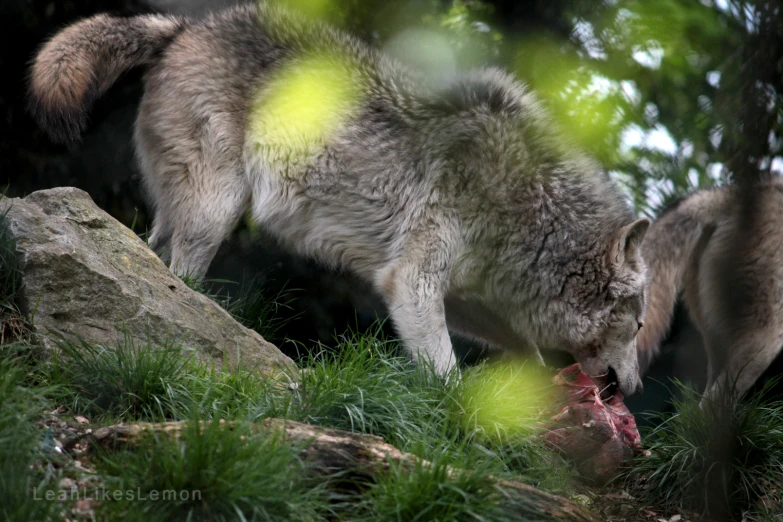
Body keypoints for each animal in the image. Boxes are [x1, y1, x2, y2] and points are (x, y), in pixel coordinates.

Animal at [26, 2, 648, 392]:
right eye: (640, 327)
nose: (636, 387)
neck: (531, 212)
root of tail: (184, 28)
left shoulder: (461, 296)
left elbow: (525, 350)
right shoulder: (411, 282)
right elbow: (445, 372)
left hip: (177, 212)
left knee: (147, 256)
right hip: (216, 211)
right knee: (182, 277)